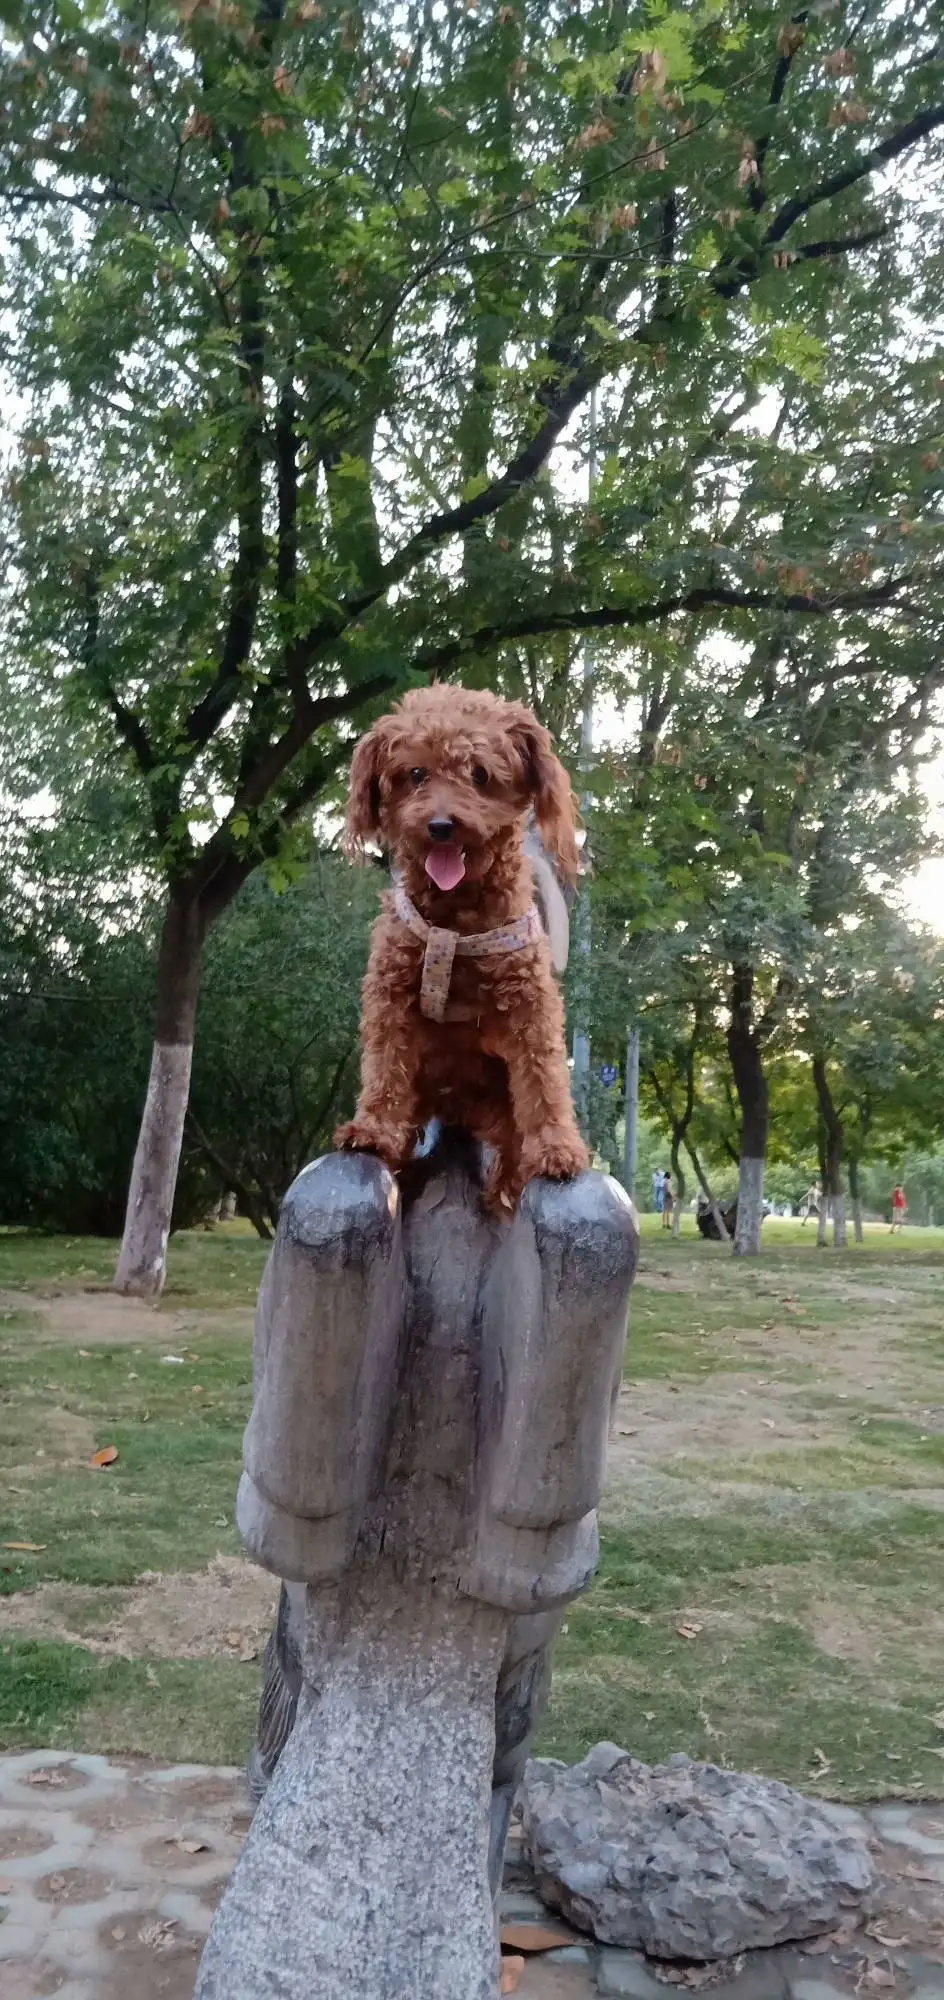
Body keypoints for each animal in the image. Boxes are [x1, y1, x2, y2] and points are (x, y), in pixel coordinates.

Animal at [334, 680, 592, 1208]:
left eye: (480, 775)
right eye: (415, 774)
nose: (440, 825)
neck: (455, 927)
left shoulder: (530, 1004)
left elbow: (544, 1077)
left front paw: (558, 1149)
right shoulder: (391, 995)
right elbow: (383, 1067)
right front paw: (371, 1129)